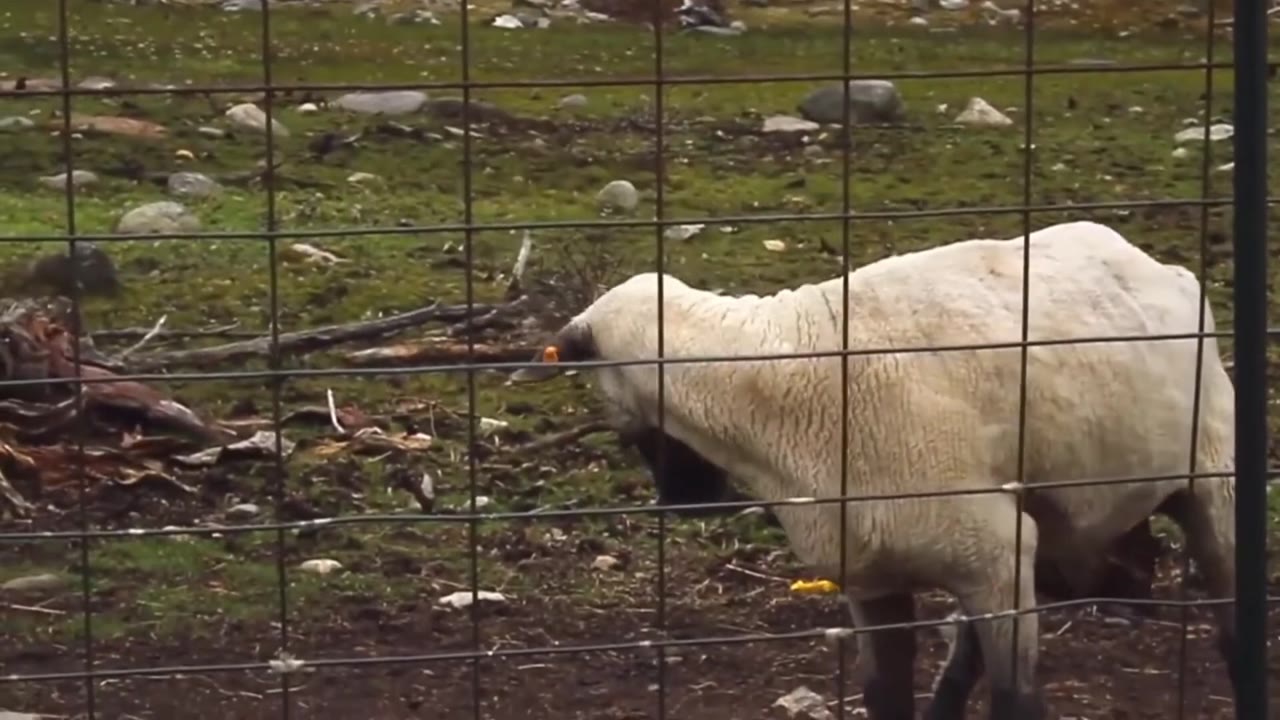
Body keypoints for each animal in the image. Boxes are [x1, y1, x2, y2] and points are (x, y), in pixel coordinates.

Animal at [509, 220, 1238, 720]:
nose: (686, 500)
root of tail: (1153, 261)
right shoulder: (877, 573)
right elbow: (886, 696)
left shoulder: (995, 556)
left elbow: (1018, 701)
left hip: (1211, 478)